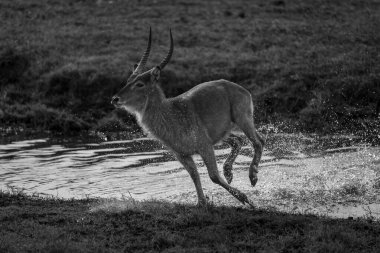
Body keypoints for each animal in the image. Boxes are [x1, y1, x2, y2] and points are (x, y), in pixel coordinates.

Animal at [110, 28, 264, 206]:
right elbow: (194, 176)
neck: (170, 114)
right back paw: (229, 173)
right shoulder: (182, 155)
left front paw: (245, 198)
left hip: (241, 119)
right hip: (225, 132)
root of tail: (236, 86)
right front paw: (202, 202)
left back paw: (252, 177)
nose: (115, 99)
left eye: (140, 84)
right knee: (241, 141)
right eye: (128, 80)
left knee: (258, 141)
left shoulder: (205, 146)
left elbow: (213, 176)